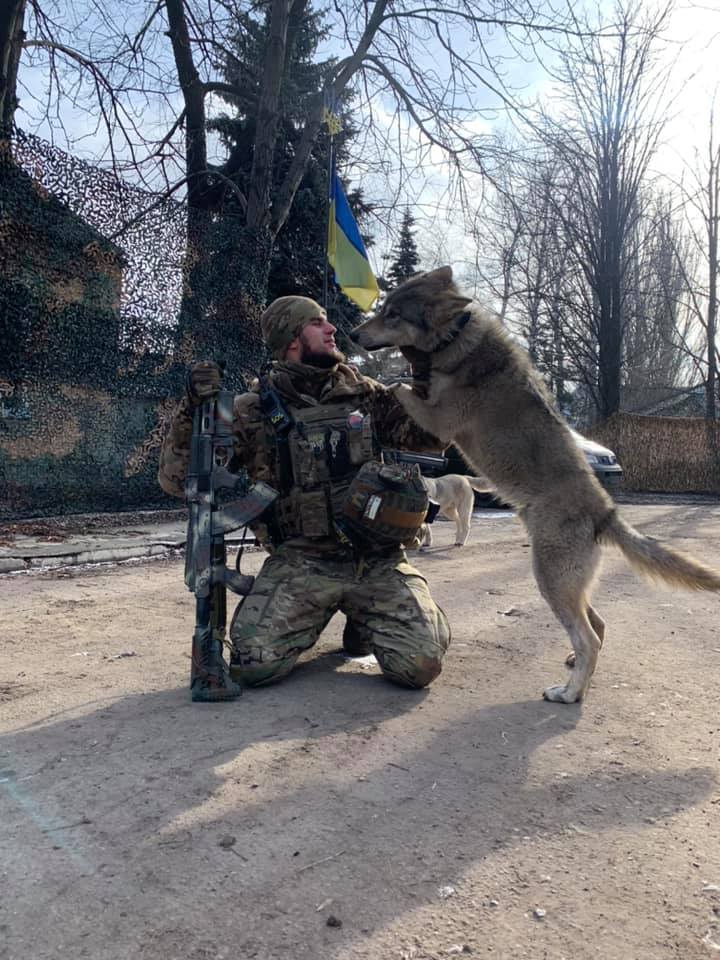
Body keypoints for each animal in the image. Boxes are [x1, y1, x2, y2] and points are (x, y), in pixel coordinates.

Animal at [352, 266, 720, 700]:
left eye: (393, 315)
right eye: (384, 309)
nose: (352, 334)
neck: (457, 341)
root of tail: (605, 511)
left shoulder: (437, 422)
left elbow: (396, 385)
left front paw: (364, 378)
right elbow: (399, 383)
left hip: (551, 581)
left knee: (589, 637)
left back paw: (569, 693)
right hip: (567, 584)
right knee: (598, 626)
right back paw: (576, 670)